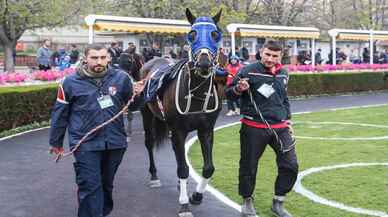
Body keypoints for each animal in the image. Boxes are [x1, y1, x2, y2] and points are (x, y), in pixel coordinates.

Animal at [139, 8, 224, 217]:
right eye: (192, 34)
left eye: (215, 34)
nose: (204, 63)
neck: (196, 94)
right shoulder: (178, 130)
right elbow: (184, 169)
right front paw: (184, 204)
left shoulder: (206, 130)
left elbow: (208, 168)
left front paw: (196, 196)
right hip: (147, 114)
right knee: (149, 142)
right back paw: (154, 176)